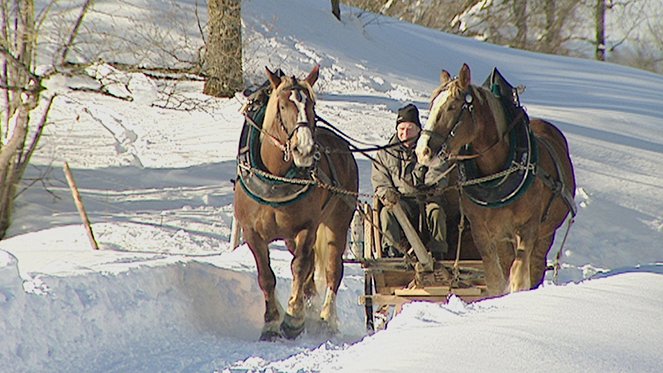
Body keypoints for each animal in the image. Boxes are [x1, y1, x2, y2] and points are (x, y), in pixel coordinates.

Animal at [233, 65, 358, 338]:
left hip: (337, 223)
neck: (274, 177)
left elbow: (299, 267)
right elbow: (266, 276)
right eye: (281, 105)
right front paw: (271, 322)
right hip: (291, 237)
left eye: (312, 103)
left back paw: (326, 318)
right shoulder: (251, 232)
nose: (305, 150)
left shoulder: (307, 227)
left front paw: (293, 318)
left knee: (332, 270)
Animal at [418, 64, 580, 296]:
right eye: (432, 104)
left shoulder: (528, 229)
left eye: (452, 106)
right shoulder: (484, 234)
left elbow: (519, 275)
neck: (497, 173)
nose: (422, 150)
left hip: (545, 233)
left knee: (536, 267)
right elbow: (496, 279)